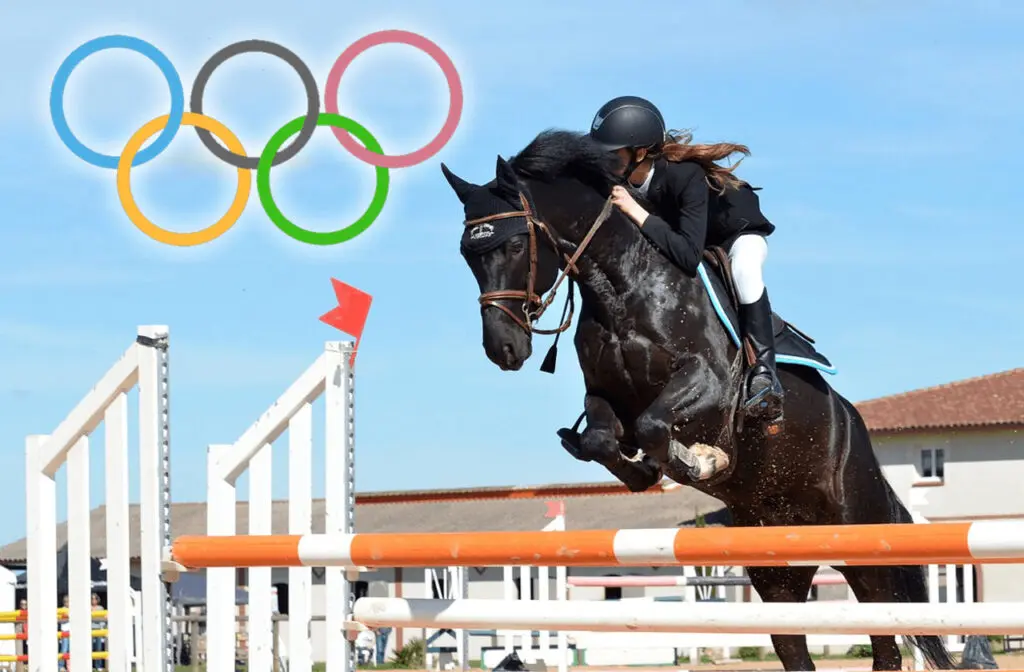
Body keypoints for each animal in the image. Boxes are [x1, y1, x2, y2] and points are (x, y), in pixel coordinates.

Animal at [441, 129, 956, 671]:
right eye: (467, 254)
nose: (503, 349)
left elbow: (655, 425)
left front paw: (703, 461)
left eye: (517, 243)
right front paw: (646, 470)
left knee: (886, 638)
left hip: (862, 540)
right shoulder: (605, 396)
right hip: (776, 566)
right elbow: (605, 440)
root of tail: (856, 429)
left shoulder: (709, 384)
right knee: (797, 643)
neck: (622, 286)